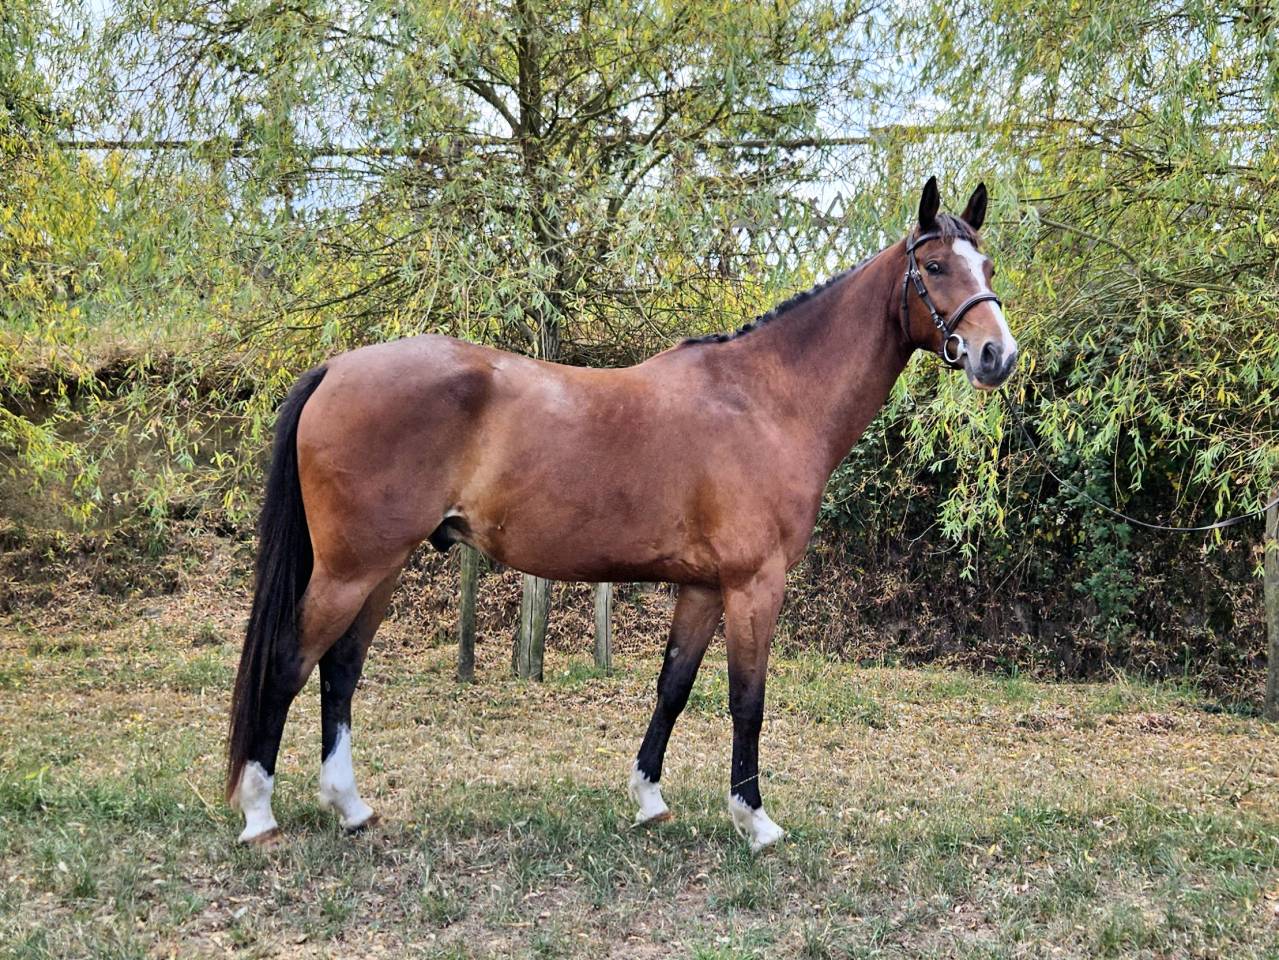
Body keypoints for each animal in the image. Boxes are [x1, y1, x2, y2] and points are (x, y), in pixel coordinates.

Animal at [226, 176, 1018, 851]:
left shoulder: (703, 587)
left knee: (341, 669)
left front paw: (650, 801)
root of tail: (338, 367)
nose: (996, 356)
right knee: (293, 660)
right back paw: (260, 814)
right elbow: (747, 699)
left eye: (986, 262)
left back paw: (350, 807)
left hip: (382, 565)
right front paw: (754, 821)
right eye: (936, 266)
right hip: (352, 567)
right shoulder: (754, 586)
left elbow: (673, 687)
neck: (764, 399)